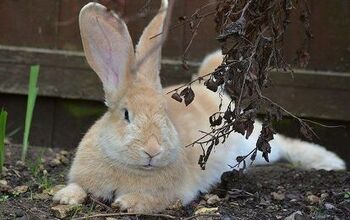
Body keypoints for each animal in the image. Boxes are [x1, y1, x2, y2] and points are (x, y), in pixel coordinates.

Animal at [53, 0, 346, 213]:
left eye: (164, 114)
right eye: (126, 115)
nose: (152, 150)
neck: (131, 167)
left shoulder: (174, 193)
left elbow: (154, 200)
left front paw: (127, 202)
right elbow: (79, 187)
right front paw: (64, 197)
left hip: (249, 144)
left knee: (283, 144)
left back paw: (329, 161)